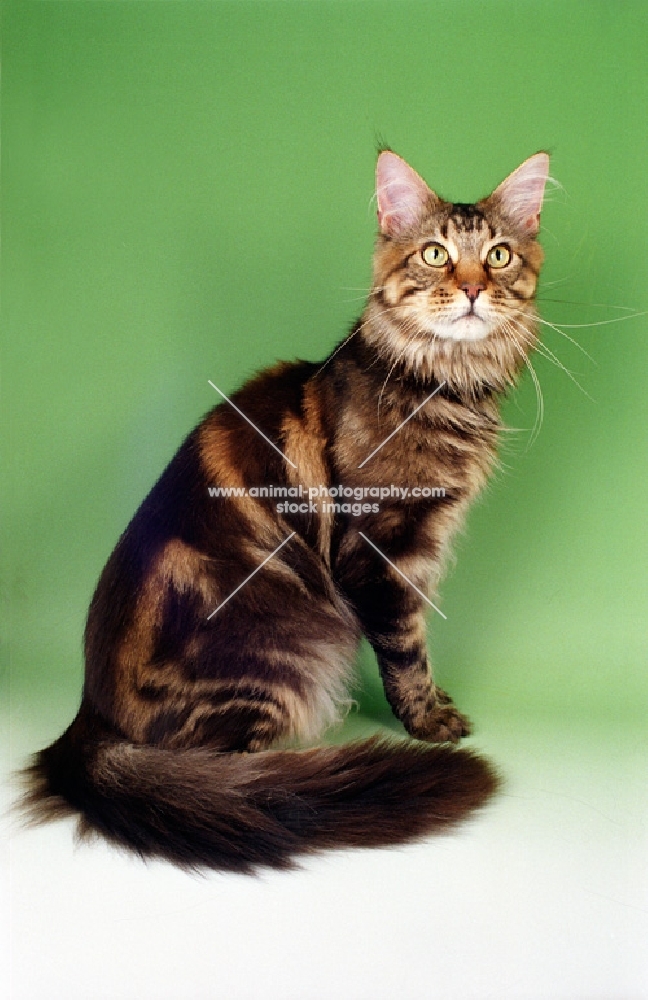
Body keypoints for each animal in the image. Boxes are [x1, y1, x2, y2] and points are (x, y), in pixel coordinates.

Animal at [24, 150, 552, 876]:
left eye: (498, 256)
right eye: (436, 254)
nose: (473, 289)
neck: (443, 382)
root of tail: (88, 716)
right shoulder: (382, 554)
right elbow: (408, 652)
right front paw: (429, 724)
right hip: (293, 645)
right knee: (230, 766)